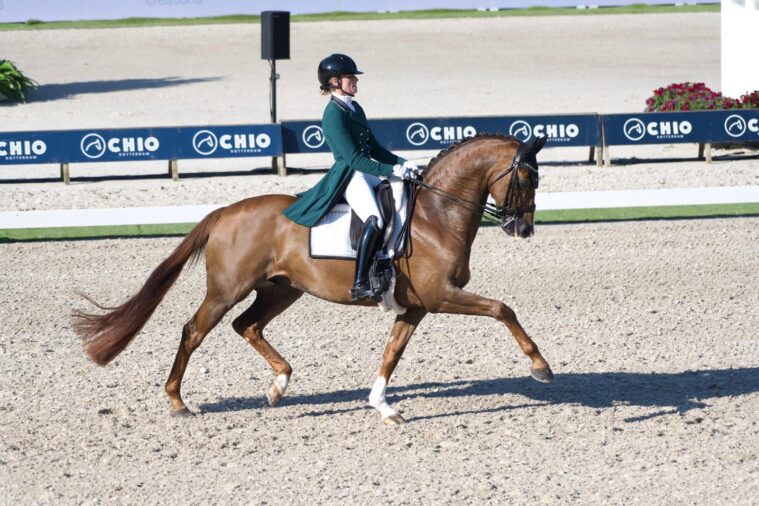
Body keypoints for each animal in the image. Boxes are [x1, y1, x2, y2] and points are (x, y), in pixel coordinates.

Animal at [72, 132, 552, 424]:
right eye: (527, 178)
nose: (525, 229)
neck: (436, 215)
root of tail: (224, 212)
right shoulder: (441, 296)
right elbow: (503, 309)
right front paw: (540, 367)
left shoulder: (416, 306)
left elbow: (392, 352)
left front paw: (383, 407)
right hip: (227, 290)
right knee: (194, 330)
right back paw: (177, 401)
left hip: (281, 291)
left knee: (247, 325)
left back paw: (279, 385)